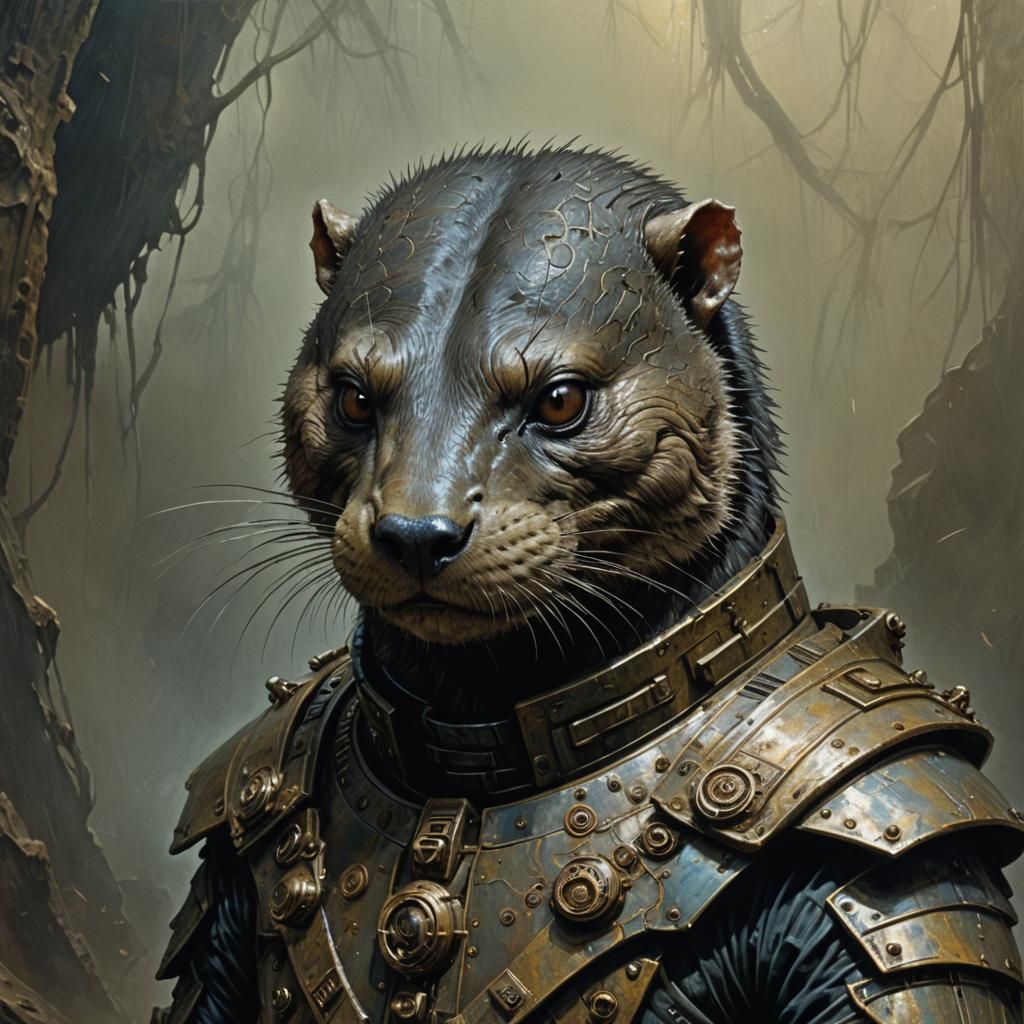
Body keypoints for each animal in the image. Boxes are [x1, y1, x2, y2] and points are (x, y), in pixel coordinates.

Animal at [156, 146, 1023, 1024]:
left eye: (561, 399)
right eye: (354, 398)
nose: (415, 536)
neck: (465, 764)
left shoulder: (894, 861)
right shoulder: (242, 812)